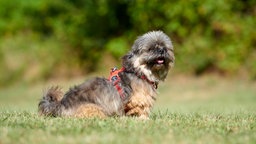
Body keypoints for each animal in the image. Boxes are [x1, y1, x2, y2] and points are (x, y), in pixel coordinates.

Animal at [38, 31, 174, 119]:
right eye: (150, 49)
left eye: (166, 48)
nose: (161, 50)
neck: (140, 72)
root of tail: (60, 105)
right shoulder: (137, 101)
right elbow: (140, 112)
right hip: (93, 108)